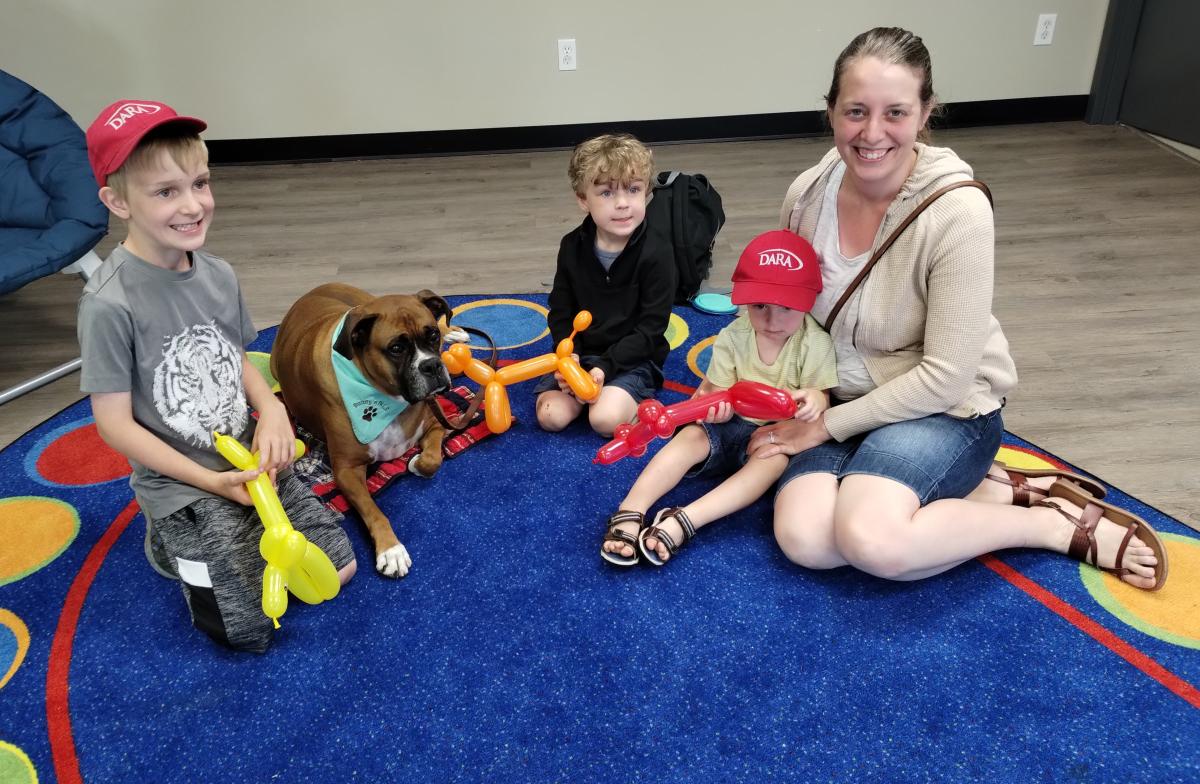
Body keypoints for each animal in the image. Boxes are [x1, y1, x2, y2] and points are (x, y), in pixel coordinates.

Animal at [272, 280, 458, 573]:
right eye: (396, 348)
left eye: (432, 336)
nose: (432, 365)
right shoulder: (347, 470)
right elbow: (374, 511)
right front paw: (391, 550)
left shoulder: (435, 422)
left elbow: (432, 459)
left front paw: (417, 463)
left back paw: (457, 332)